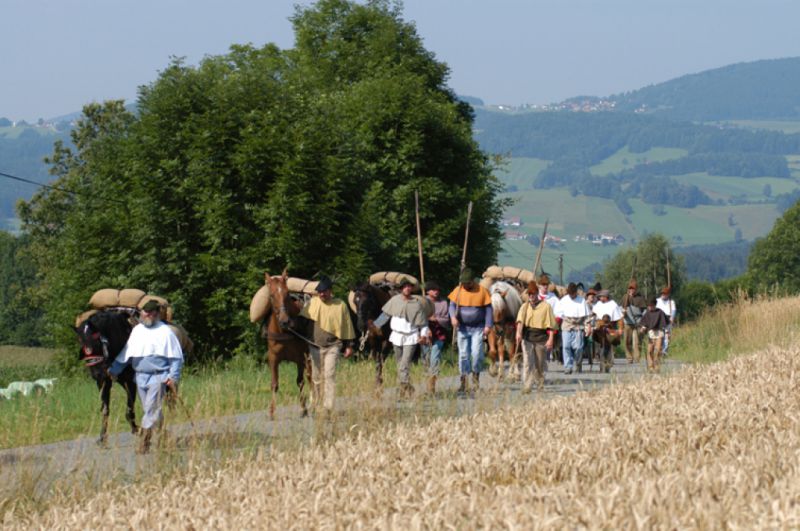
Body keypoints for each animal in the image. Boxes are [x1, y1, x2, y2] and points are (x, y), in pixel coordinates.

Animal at [75, 310, 138, 446]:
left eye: (97, 342)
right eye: (81, 343)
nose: (96, 373)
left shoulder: (131, 382)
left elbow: (129, 410)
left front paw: (138, 430)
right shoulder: (104, 382)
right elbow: (105, 409)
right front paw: (102, 437)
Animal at [264, 274, 310, 420]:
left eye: (287, 294)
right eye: (271, 295)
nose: (285, 321)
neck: (283, 331)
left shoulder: (304, 356)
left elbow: (305, 380)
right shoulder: (273, 358)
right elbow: (274, 384)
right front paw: (271, 412)